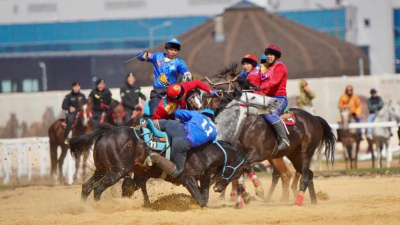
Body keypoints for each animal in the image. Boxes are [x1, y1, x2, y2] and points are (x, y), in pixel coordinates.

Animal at [202, 64, 336, 207]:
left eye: (219, 76)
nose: (203, 82)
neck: (248, 123)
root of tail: (315, 118)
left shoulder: (256, 154)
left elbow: (240, 167)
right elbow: (239, 170)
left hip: (306, 151)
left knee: (301, 175)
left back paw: (297, 201)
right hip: (294, 154)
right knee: (306, 174)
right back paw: (313, 201)